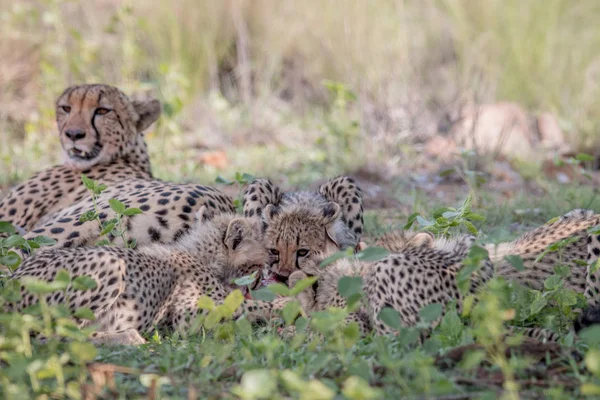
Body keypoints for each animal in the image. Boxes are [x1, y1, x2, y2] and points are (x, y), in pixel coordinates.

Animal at [5, 209, 296, 344]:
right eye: (266, 257)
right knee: (51, 336)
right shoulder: (186, 317)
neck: (203, 255)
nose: (272, 275)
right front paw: (289, 303)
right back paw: (127, 337)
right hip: (112, 263)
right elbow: (249, 306)